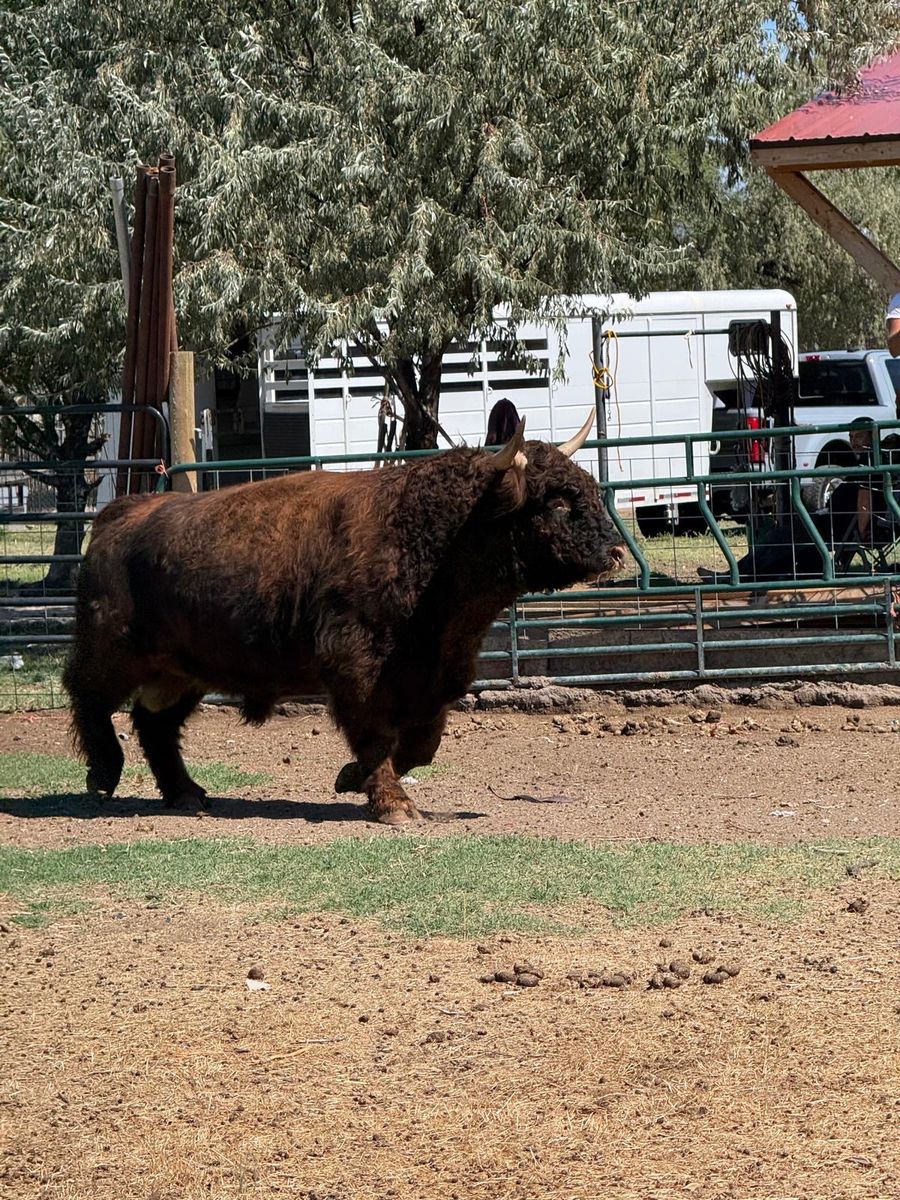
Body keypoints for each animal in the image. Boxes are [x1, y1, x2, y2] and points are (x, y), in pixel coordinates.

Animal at [63, 415, 626, 824]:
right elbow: (377, 737)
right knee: (88, 696)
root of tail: (118, 515)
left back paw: (187, 794)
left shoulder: (434, 678)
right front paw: (394, 805)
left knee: (154, 724)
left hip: (182, 673)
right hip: (114, 653)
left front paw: (350, 778)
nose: (616, 552)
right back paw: (104, 775)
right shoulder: (359, 670)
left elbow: (421, 744)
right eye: (557, 501)